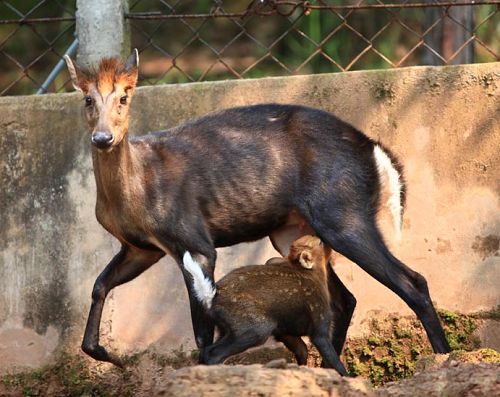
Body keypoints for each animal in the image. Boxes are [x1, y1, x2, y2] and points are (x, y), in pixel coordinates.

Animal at [64, 49, 452, 366]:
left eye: (124, 97)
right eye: (87, 99)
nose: (103, 138)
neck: (137, 190)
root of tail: (374, 150)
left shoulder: (194, 240)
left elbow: (202, 331)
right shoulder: (142, 248)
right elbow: (99, 284)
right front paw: (106, 354)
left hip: (343, 215)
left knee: (411, 282)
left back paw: (443, 358)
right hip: (293, 230)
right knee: (345, 298)